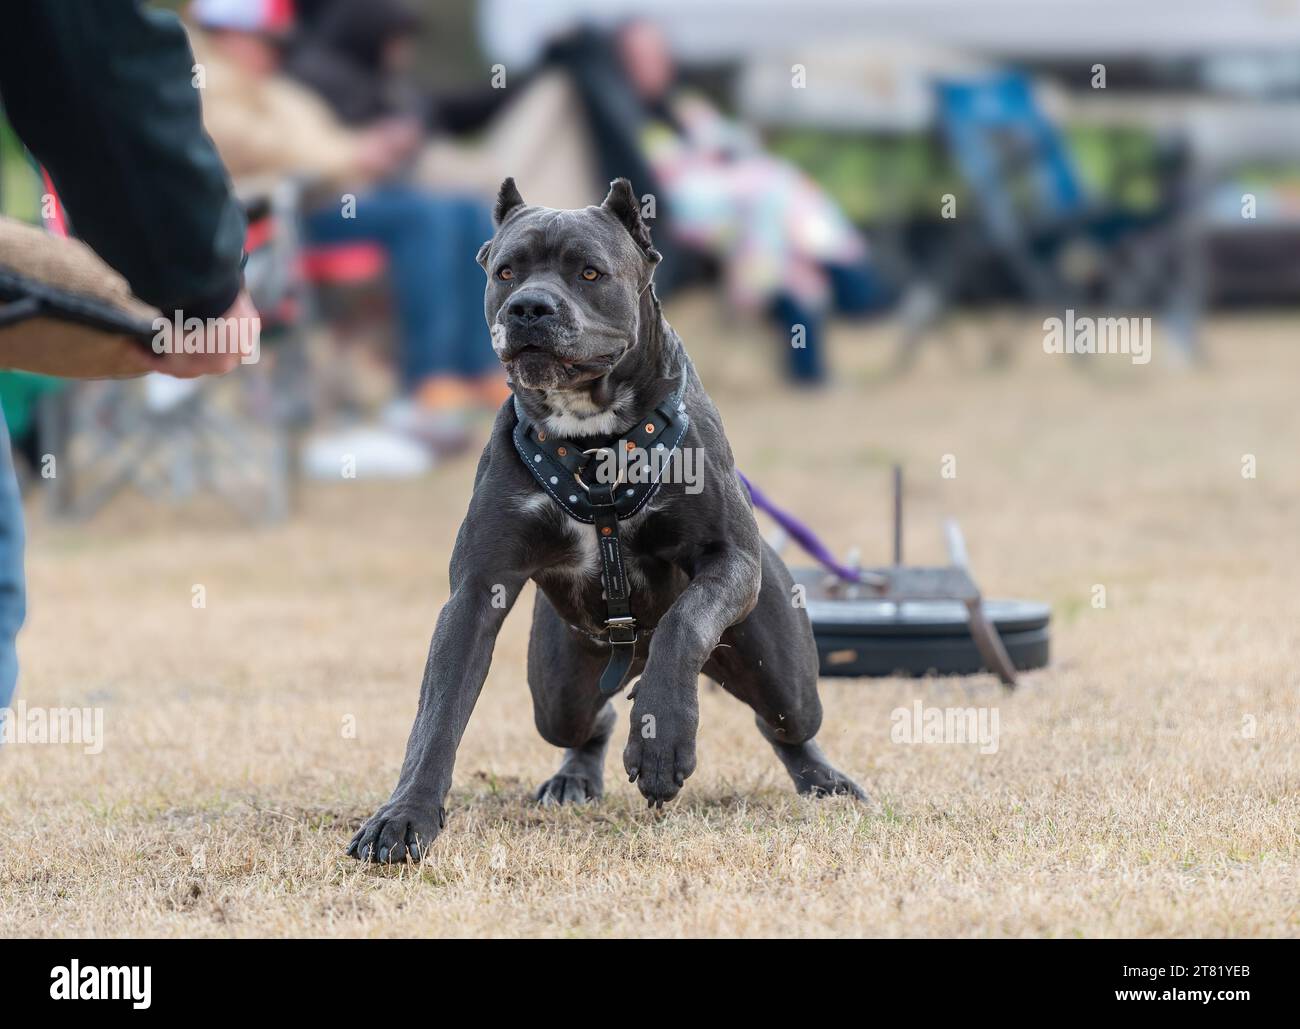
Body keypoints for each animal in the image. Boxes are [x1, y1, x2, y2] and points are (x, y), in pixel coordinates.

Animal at [345, 180, 863, 862]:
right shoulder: (475, 592)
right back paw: (574, 778)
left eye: (589, 272)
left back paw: (823, 779)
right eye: (506, 271)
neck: (594, 440)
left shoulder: (730, 561)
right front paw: (404, 818)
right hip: (559, 685)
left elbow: (683, 625)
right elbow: (436, 717)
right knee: (588, 719)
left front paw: (663, 741)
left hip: (781, 666)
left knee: (785, 722)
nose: (529, 308)